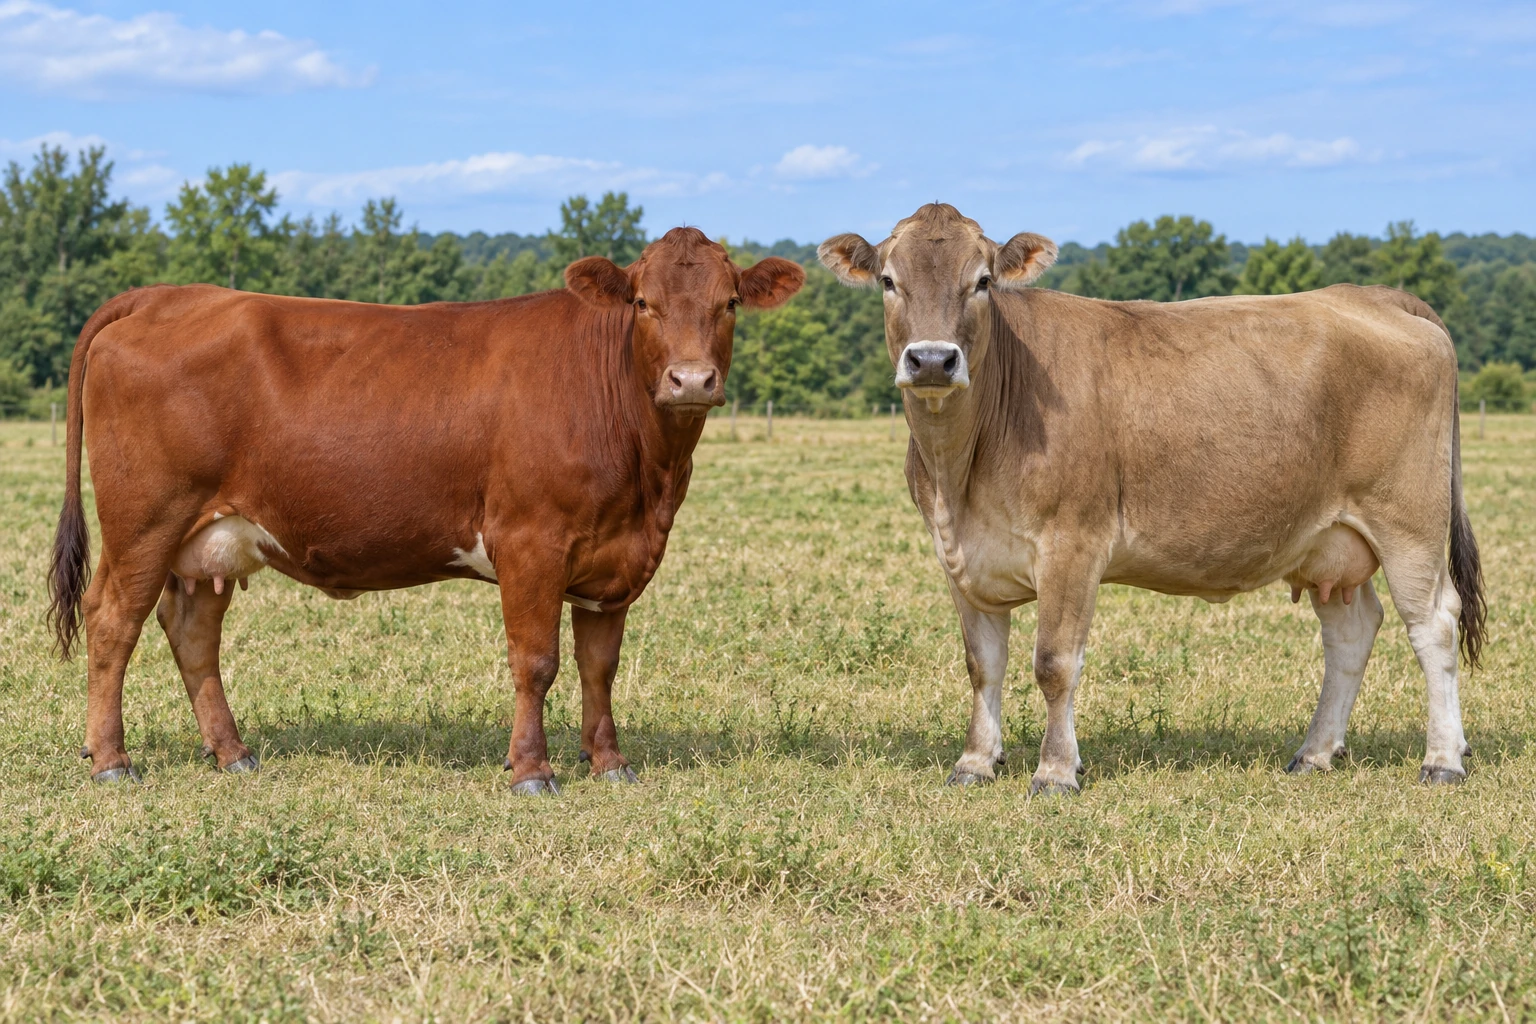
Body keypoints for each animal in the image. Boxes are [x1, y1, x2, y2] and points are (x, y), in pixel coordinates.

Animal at [48, 227, 804, 793]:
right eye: (644, 303)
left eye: (729, 303)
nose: (691, 380)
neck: (649, 484)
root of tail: (168, 295)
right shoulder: (531, 541)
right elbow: (537, 661)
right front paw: (532, 771)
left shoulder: (612, 561)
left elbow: (600, 665)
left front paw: (610, 763)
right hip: (144, 521)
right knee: (112, 621)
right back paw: (112, 761)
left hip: (212, 536)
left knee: (192, 632)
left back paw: (232, 752)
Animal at [819, 203, 1485, 794]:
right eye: (888, 280)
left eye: (981, 281)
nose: (933, 359)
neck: (959, 476)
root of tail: (1371, 295)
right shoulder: (961, 556)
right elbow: (983, 665)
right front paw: (976, 763)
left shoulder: (1072, 544)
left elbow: (1054, 663)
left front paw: (1055, 771)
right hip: (1329, 540)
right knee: (1351, 630)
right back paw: (1315, 753)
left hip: (1409, 521)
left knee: (1433, 625)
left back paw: (1443, 760)